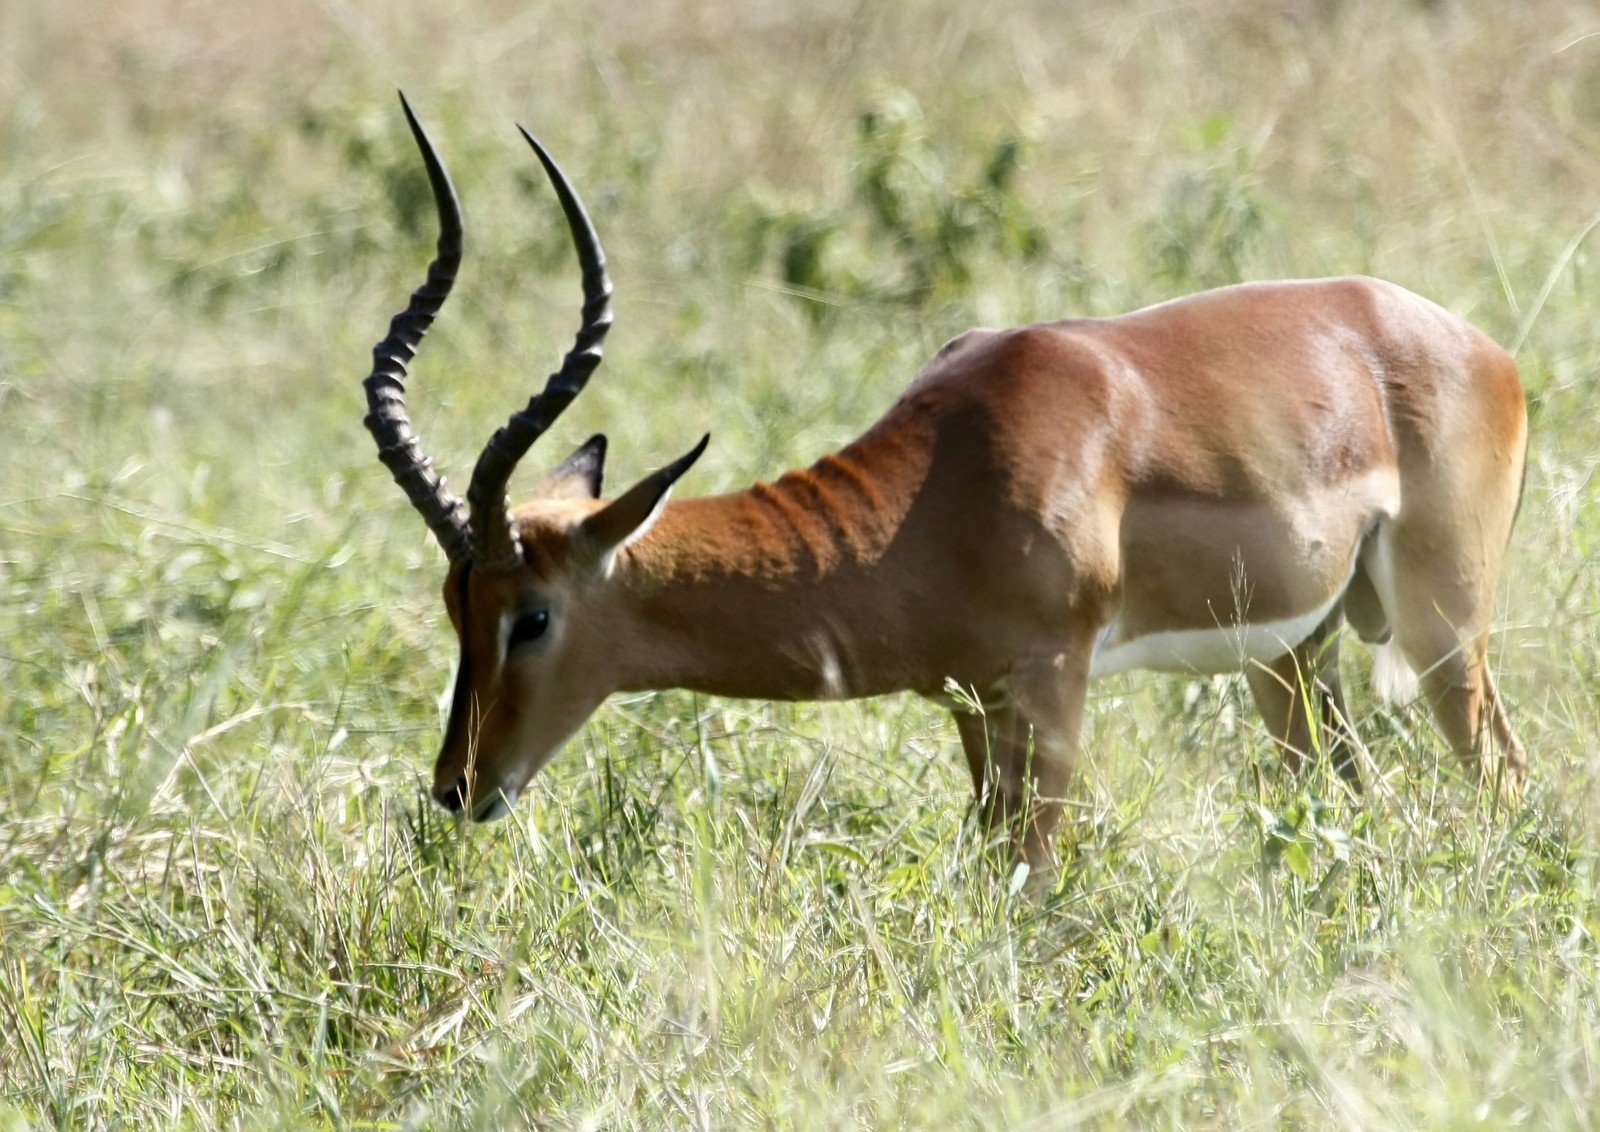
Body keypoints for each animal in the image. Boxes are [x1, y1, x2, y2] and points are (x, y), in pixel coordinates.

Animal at [360, 97, 1523, 869]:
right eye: (454, 606)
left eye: (531, 616)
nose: (458, 786)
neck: (934, 496)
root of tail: (1480, 346)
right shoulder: (972, 701)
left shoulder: (1052, 686)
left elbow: (1034, 877)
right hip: (1292, 657)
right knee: (1340, 792)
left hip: (1440, 632)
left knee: (1502, 772)